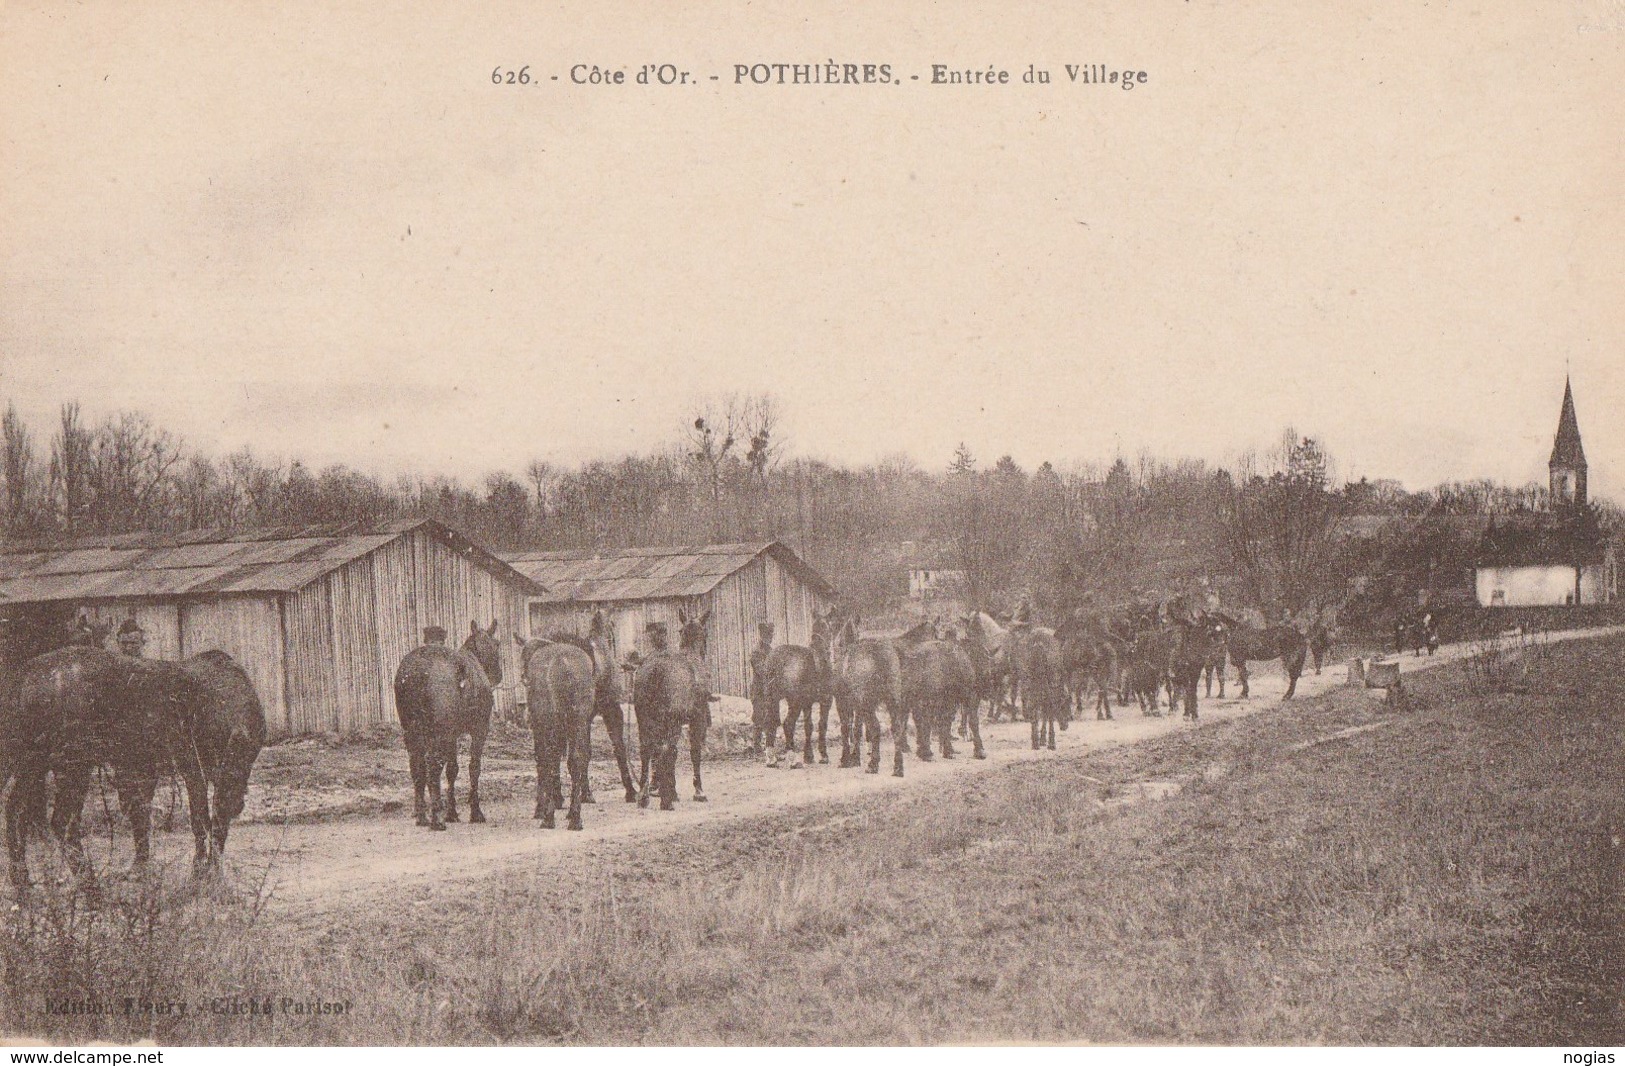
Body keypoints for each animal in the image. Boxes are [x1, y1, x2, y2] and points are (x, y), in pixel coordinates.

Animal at [3, 646, 216, 884]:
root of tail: (26, 675)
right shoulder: (193, 766)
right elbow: (202, 819)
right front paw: (202, 870)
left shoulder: (147, 770)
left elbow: (144, 815)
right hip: (73, 768)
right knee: (61, 822)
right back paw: (89, 882)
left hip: (35, 764)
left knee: (16, 810)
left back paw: (23, 881)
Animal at [390, 617, 497, 832]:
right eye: (497, 644)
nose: (498, 675)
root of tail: (416, 671)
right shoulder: (479, 729)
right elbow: (474, 768)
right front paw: (475, 811)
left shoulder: (452, 735)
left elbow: (452, 769)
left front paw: (452, 812)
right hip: (437, 733)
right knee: (433, 766)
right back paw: (436, 818)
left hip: (412, 731)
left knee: (417, 767)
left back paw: (422, 815)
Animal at [763, 607, 838, 767]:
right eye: (829, 628)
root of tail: (776, 660)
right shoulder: (826, 701)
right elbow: (822, 725)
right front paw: (823, 755)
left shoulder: (807, 703)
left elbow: (808, 726)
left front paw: (808, 756)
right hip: (794, 702)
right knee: (788, 723)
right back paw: (792, 758)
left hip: (771, 698)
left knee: (769, 723)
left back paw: (771, 758)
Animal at [832, 617, 910, 773]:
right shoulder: (857, 705)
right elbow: (856, 729)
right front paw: (855, 758)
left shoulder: (842, 702)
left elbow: (845, 729)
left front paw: (845, 759)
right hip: (892, 701)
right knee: (897, 728)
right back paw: (898, 766)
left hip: (867, 705)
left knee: (875, 727)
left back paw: (873, 764)